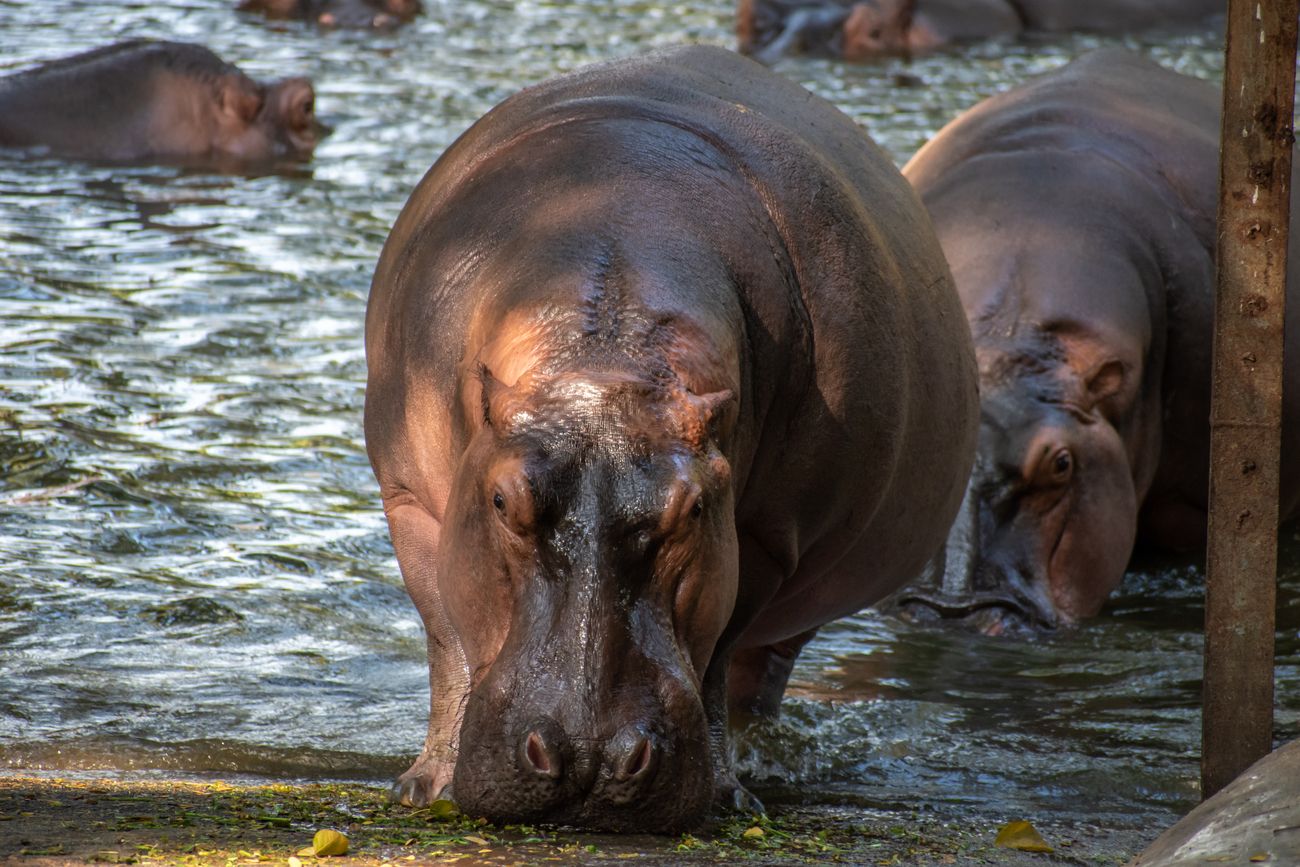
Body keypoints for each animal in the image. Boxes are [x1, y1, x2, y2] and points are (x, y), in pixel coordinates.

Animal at [366, 44, 977, 831]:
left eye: (693, 508)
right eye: (502, 501)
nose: (587, 758)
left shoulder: (759, 537)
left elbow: (716, 652)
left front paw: (726, 796)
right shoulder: (410, 500)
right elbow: (447, 637)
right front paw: (427, 785)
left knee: (757, 671)